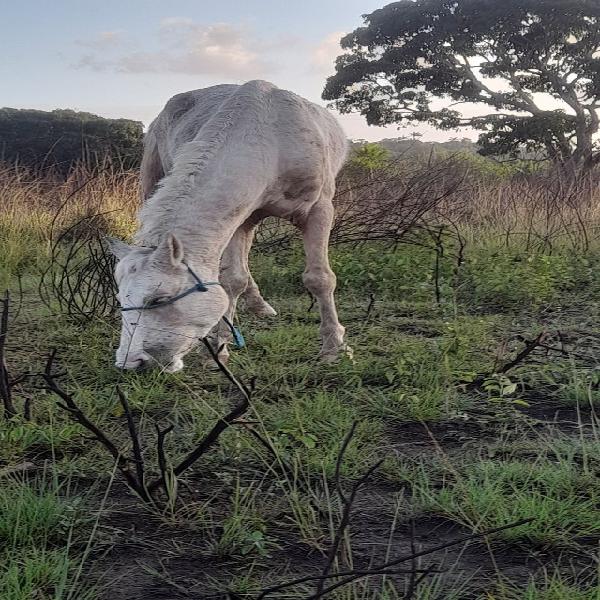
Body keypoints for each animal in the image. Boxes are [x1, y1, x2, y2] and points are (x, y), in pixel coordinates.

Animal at [110, 79, 350, 370]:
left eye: (159, 299)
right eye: (120, 300)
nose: (129, 363)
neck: (272, 140)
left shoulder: (319, 210)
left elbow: (320, 278)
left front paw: (334, 347)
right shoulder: (239, 216)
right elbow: (233, 280)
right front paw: (219, 348)